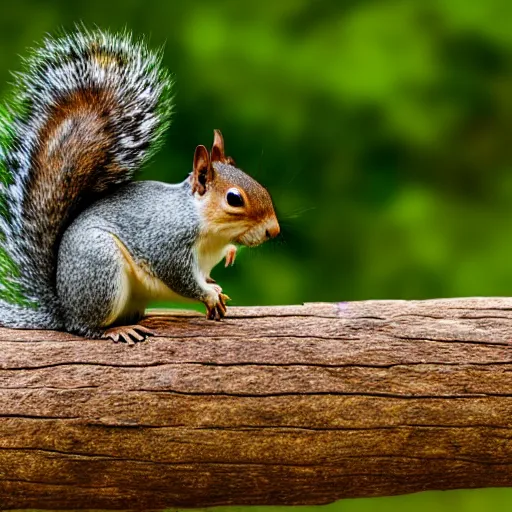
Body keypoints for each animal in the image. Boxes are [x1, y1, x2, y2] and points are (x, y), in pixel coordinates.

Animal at [0, 27, 280, 340]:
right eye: (234, 198)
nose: (274, 230)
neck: (208, 227)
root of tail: (64, 308)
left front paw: (229, 258)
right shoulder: (167, 245)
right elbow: (182, 278)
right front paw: (209, 294)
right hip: (102, 270)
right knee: (86, 327)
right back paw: (116, 331)